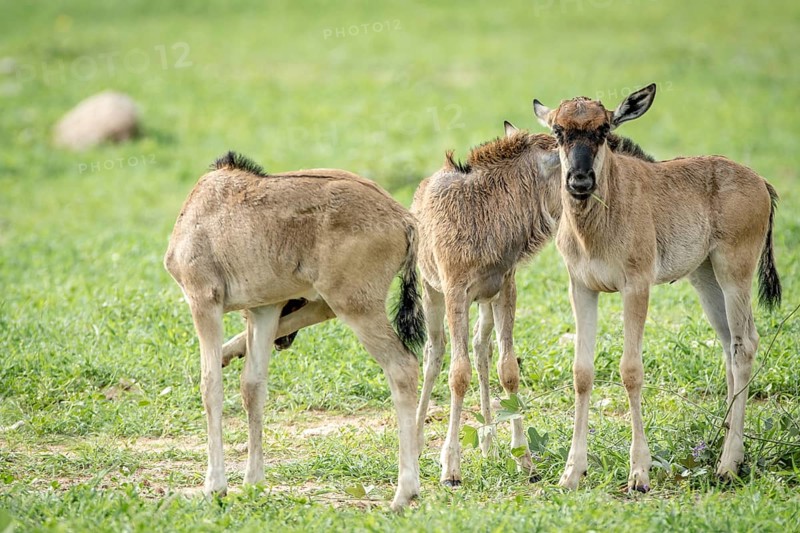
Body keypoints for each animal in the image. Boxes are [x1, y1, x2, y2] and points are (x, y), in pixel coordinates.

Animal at [164, 152, 425, 511]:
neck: (201, 208)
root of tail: (404, 219)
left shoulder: (203, 299)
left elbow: (210, 386)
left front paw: (215, 486)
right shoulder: (265, 308)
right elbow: (252, 386)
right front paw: (253, 482)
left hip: (356, 308)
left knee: (402, 366)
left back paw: (404, 493)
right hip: (334, 301)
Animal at [412, 123, 656, 486]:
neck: (486, 216)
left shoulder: (505, 288)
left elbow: (508, 369)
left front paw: (524, 460)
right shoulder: (455, 291)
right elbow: (458, 373)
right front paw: (451, 468)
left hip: (483, 303)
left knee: (481, 348)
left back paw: (488, 443)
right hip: (432, 293)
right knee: (434, 353)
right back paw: (415, 441)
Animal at [533, 84, 781, 492]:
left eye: (604, 129)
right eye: (558, 130)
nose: (580, 181)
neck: (601, 218)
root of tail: (761, 182)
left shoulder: (636, 286)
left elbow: (631, 370)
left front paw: (639, 473)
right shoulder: (581, 288)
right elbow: (582, 372)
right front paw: (571, 473)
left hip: (735, 273)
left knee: (745, 345)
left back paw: (728, 464)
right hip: (705, 279)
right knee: (728, 345)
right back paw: (727, 443)